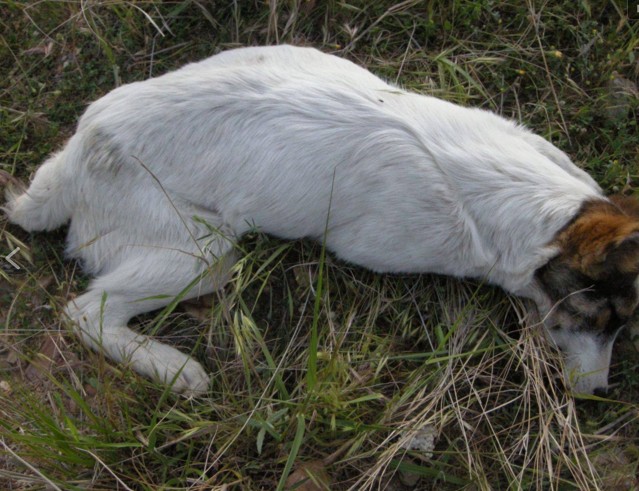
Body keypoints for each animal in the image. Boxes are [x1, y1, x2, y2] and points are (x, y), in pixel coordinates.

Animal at [2, 45, 636, 396]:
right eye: (601, 318)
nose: (601, 394)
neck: (530, 200)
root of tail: (80, 152)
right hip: (206, 254)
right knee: (86, 313)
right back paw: (173, 368)